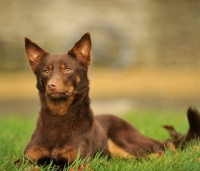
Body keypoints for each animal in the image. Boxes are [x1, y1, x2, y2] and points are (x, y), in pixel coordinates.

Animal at [19, 32, 200, 166]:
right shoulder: (26, 161)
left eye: (67, 69)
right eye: (46, 71)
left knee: (162, 150)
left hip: (125, 144)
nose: (52, 85)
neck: (59, 117)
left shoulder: (79, 161)